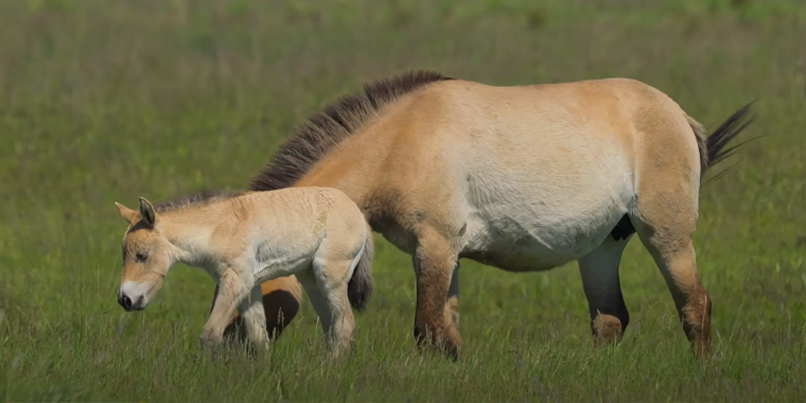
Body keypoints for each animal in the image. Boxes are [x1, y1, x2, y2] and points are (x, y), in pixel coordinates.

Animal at [114, 186, 376, 356]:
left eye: (141, 255)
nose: (125, 299)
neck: (218, 228)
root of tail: (359, 215)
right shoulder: (249, 286)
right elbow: (259, 337)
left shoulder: (235, 281)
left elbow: (210, 334)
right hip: (312, 280)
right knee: (331, 328)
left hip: (330, 278)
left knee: (344, 324)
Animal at [216, 70, 756, 360]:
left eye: (247, 295)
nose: (230, 355)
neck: (400, 142)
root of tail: (678, 115)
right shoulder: (442, 252)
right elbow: (445, 329)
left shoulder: (434, 246)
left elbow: (427, 328)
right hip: (603, 247)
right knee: (610, 319)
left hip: (666, 236)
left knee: (695, 306)